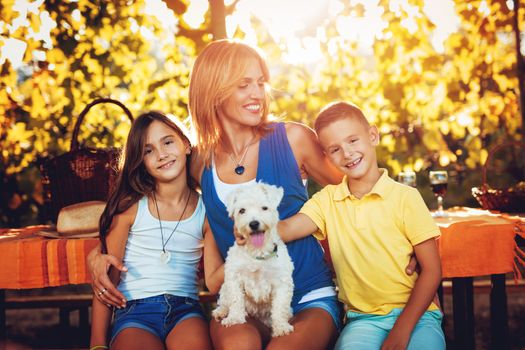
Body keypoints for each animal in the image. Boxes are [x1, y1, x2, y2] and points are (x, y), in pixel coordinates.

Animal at [213, 180, 294, 336]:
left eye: (264, 208)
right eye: (242, 210)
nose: (254, 223)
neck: (257, 253)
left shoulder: (281, 282)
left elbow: (279, 307)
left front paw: (281, 326)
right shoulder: (234, 278)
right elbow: (235, 300)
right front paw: (235, 318)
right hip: (224, 288)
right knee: (224, 302)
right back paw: (221, 312)